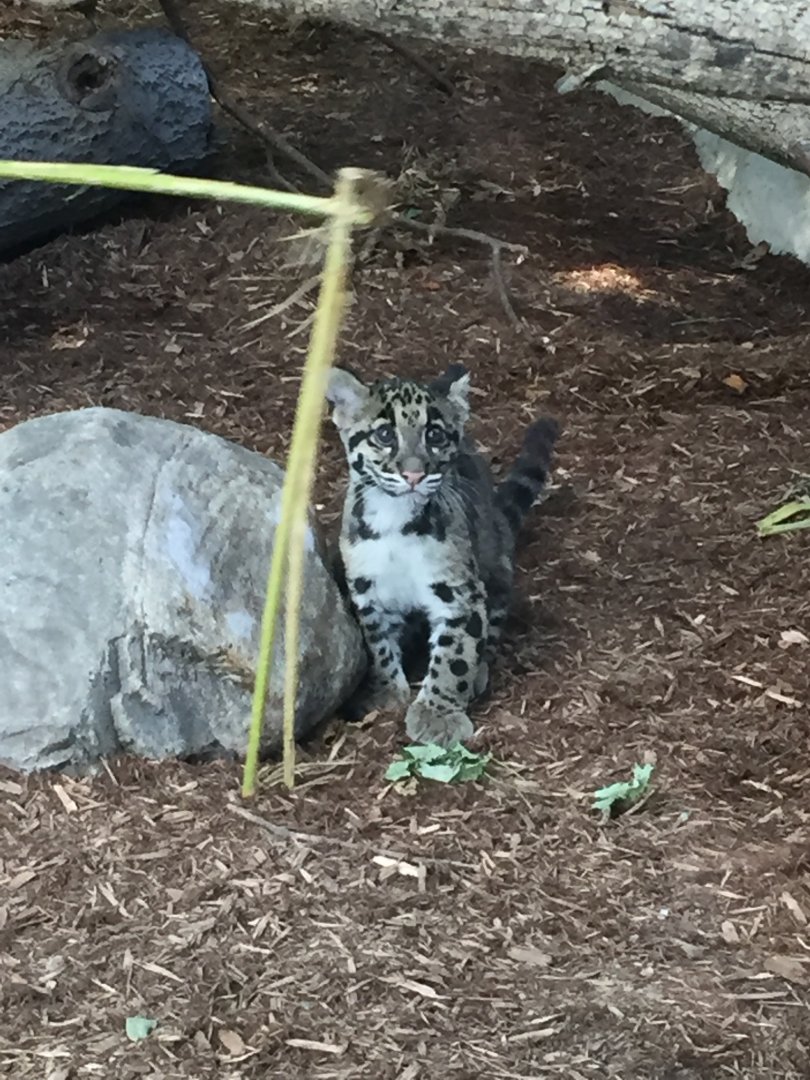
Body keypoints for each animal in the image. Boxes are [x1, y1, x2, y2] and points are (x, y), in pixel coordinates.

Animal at [326, 362, 559, 747]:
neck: (395, 517)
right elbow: (377, 643)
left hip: (496, 566)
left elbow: (456, 655)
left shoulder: (459, 591)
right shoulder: (368, 589)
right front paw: (386, 691)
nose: (414, 473)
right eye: (385, 434)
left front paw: (438, 715)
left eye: (434, 434)